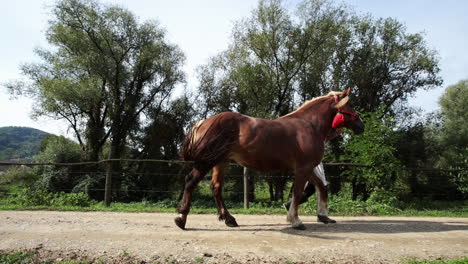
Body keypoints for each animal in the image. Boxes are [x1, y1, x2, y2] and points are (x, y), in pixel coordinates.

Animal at [174, 88, 364, 229]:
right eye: (350, 105)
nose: (361, 125)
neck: (309, 125)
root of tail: (203, 122)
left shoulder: (308, 168)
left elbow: (321, 187)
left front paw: (324, 216)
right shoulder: (303, 168)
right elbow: (297, 193)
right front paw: (295, 220)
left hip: (221, 161)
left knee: (216, 187)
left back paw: (229, 219)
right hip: (207, 161)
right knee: (191, 181)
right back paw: (181, 218)